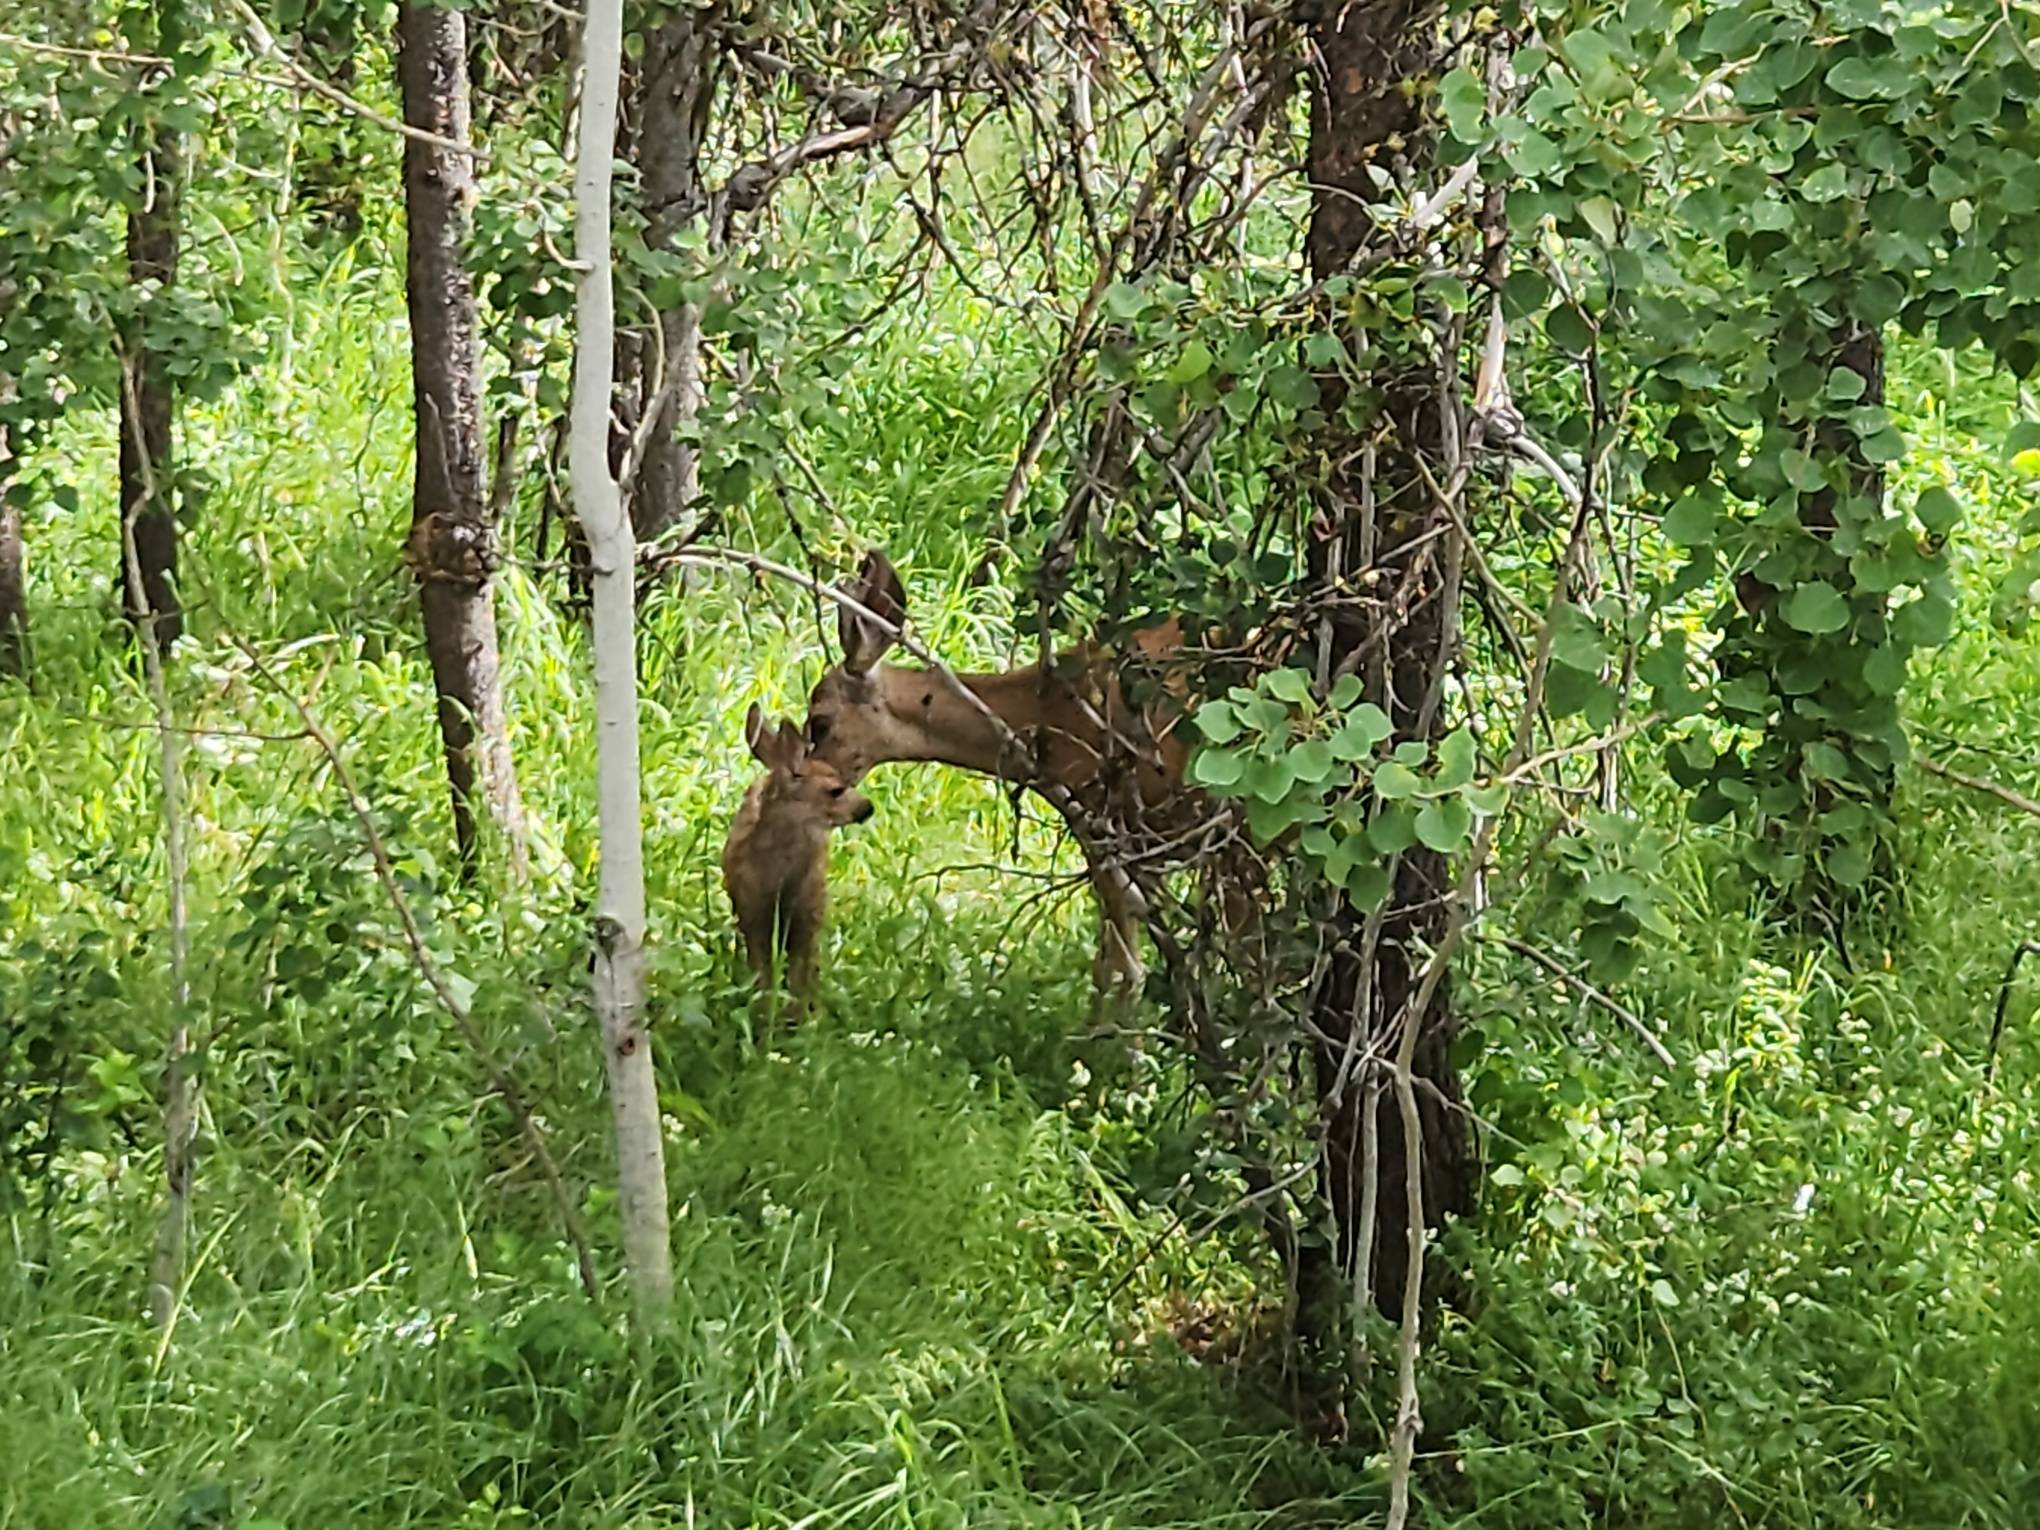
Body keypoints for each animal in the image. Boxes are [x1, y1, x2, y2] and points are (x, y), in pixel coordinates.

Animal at [721, 702, 875, 1021]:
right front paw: (765, 1018)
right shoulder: (750, 912)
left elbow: (800, 974)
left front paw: (806, 1020)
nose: (867, 807)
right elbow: (763, 974)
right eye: (835, 789)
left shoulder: (808, 911)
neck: (777, 882)